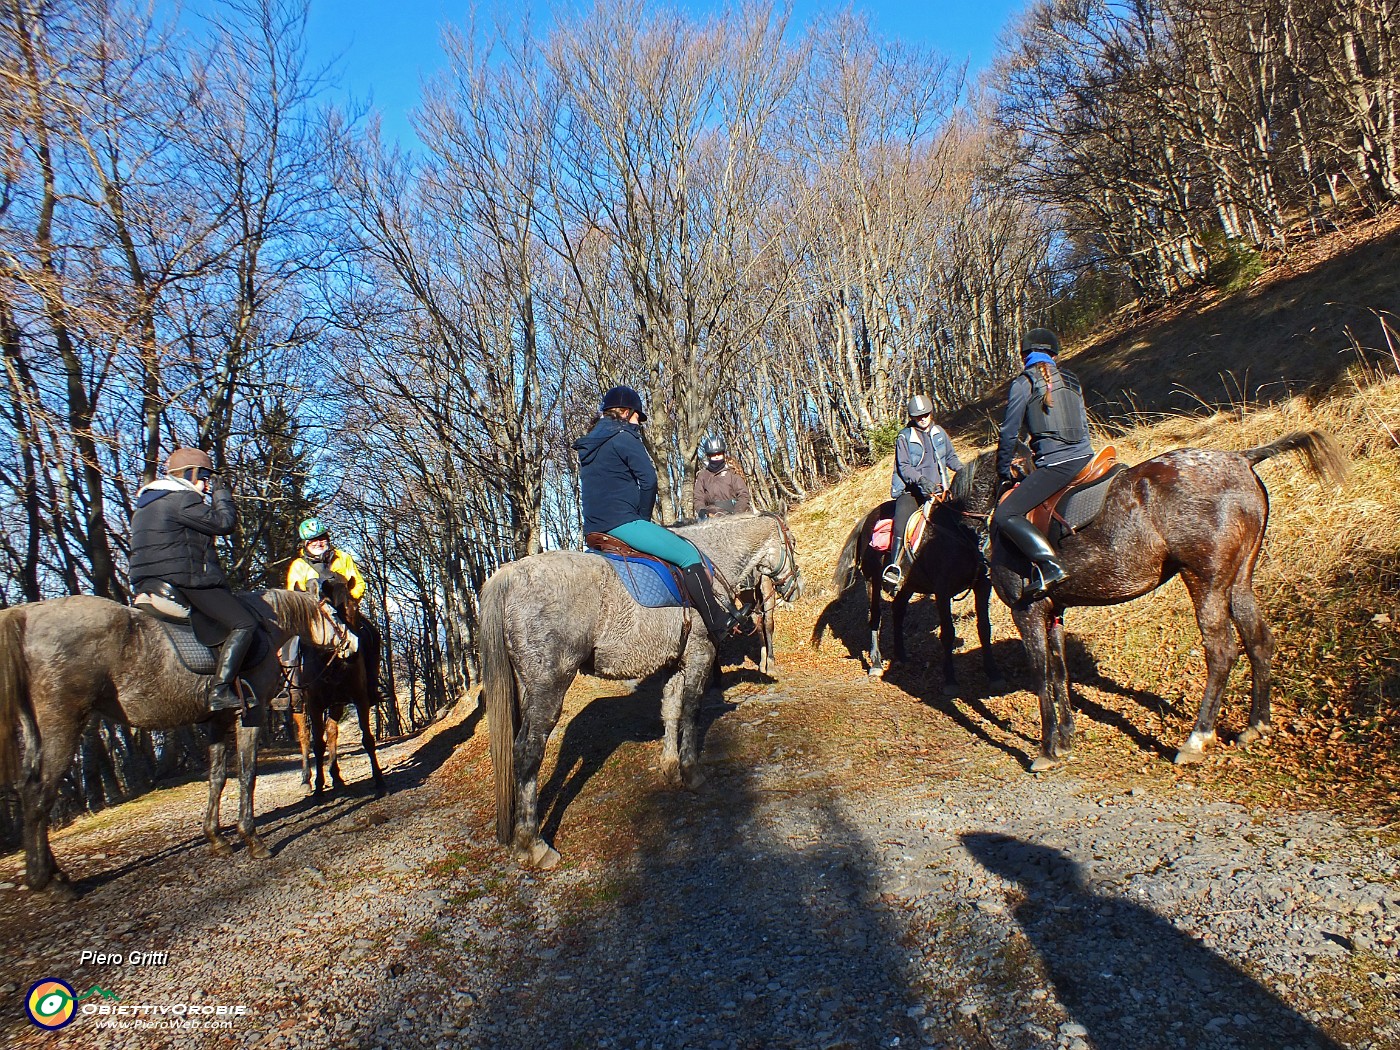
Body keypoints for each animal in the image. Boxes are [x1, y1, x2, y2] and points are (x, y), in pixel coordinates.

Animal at [0, 593, 358, 896]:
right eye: (335, 614)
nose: (352, 643)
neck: (265, 626)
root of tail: (25, 614)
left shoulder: (216, 721)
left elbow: (217, 778)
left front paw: (216, 837)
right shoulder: (250, 716)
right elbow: (247, 774)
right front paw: (251, 837)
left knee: (31, 791)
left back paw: (53, 874)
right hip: (62, 725)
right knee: (40, 794)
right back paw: (46, 881)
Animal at [292, 576, 386, 795]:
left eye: (354, 607)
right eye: (335, 612)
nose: (354, 650)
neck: (331, 663)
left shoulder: (360, 699)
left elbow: (367, 739)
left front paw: (379, 780)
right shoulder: (315, 705)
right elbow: (318, 745)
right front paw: (318, 788)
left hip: (337, 704)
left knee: (332, 732)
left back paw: (336, 777)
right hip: (298, 706)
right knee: (304, 736)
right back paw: (306, 779)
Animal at [963, 434, 1344, 772]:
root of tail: (1240, 459)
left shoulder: (1026, 612)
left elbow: (1042, 678)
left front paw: (1045, 750)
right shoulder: (1054, 611)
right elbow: (1059, 673)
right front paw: (1066, 739)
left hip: (1205, 581)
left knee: (1221, 652)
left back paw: (1196, 739)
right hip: (1239, 581)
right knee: (1259, 642)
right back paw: (1256, 725)